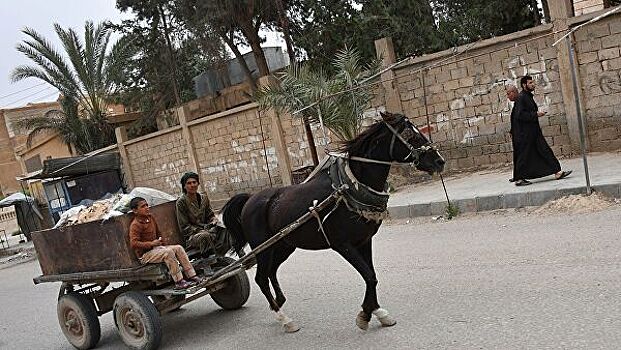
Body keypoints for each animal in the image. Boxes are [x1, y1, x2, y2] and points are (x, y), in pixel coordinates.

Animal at [220, 111, 444, 330]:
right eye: (410, 134)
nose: (440, 161)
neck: (348, 187)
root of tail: (250, 198)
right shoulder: (343, 245)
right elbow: (369, 276)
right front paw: (365, 314)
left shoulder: (364, 240)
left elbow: (372, 275)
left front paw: (377, 311)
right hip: (263, 248)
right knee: (261, 278)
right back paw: (283, 318)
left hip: (283, 245)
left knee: (270, 272)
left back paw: (279, 302)